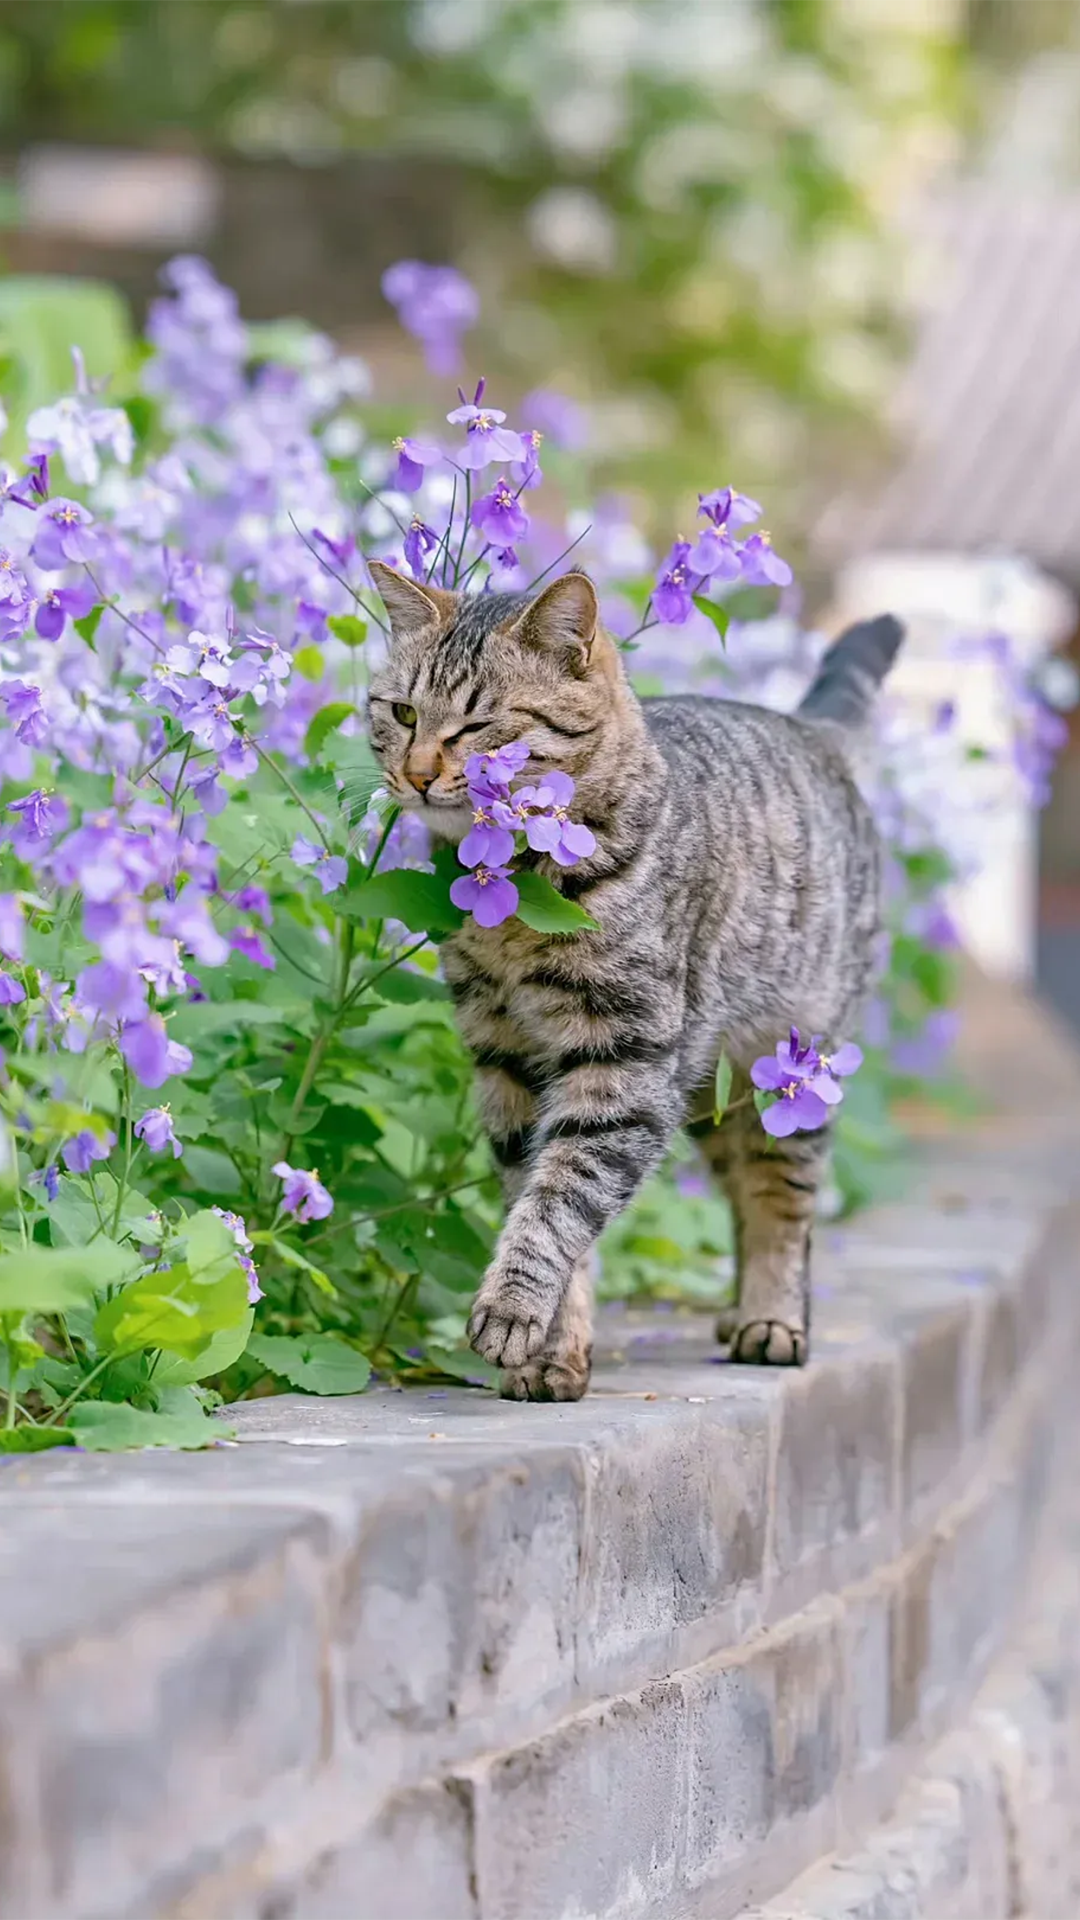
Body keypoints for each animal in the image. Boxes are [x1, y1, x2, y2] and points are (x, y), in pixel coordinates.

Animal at [365, 560, 895, 1405]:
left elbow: (560, 1202)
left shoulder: (623, 1066)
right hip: (711, 1092)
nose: (414, 777)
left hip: (788, 1066)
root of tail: (812, 729)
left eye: (477, 728)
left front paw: (514, 1308)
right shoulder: (506, 1061)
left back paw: (774, 1320)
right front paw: (553, 1352)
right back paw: (739, 1312)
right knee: (742, 1188)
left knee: (783, 1199)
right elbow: (543, 1201)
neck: (520, 899)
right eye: (403, 712)